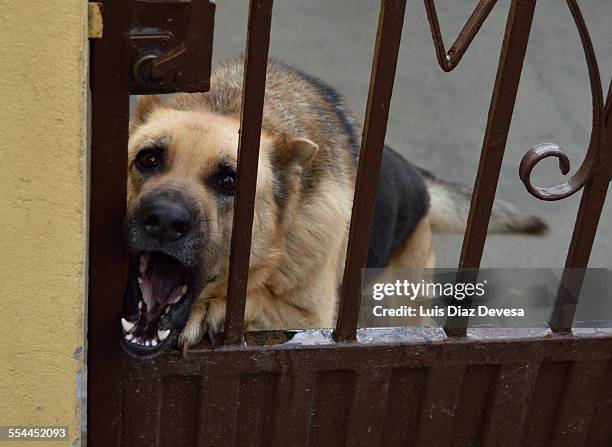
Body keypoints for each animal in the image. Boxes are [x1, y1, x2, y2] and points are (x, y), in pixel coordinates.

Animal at [118, 58, 544, 356]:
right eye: (148, 159)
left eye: (228, 182)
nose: (164, 220)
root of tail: (420, 182)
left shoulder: (315, 323)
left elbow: (258, 302)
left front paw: (211, 308)